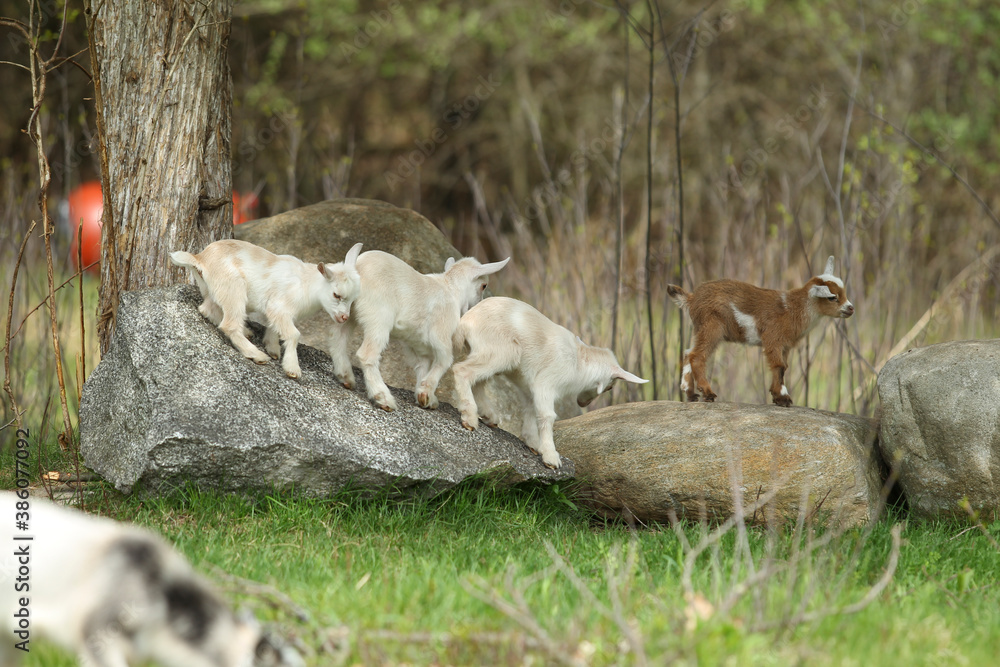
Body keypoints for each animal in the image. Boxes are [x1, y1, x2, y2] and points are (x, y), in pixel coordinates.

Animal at [170, 240, 362, 380]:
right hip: (234, 289)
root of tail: (200, 258)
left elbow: (273, 326)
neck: (306, 283)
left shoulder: (276, 311)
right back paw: (257, 355)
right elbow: (294, 334)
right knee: (228, 324)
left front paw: (273, 349)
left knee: (207, 310)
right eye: (336, 295)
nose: (344, 317)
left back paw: (248, 333)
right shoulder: (280, 308)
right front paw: (292, 369)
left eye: (354, 297)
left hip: (215, 291)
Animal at [329, 250, 509, 412]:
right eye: (484, 285)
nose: (475, 307)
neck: (450, 288)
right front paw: (426, 393)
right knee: (367, 354)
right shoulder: (441, 334)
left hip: (347, 312)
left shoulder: (417, 343)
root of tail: (357, 268)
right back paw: (383, 397)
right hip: (379, 316)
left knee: (337, 340)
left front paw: (425, 397)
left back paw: (345, 377)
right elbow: (444, 361)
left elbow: (422, 366)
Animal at [451, 297, 648, 469]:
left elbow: (530, 412)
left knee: (478, 381)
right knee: (462, 371)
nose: (582, 403)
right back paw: (469, 418)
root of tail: (465, 321)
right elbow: (547, 416)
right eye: (610, 387)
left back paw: (489, 416)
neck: (579, 361)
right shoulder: (545, 383)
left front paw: (533, 443)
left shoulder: (529, 389)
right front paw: (551, 458)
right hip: (501, 351)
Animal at [667, 255, 854, 407]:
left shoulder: (785, 346)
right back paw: (708, 393)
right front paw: (784, 398)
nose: (851, 308)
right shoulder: (773, 338)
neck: (792, 308)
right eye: (832, 297)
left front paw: (777, 396)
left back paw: (690, 394)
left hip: (700, 329)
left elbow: (783, 367)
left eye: (844, 292)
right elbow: (779, 366)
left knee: (687, 352)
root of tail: (691, 298)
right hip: (712, 327)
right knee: (697, 356)